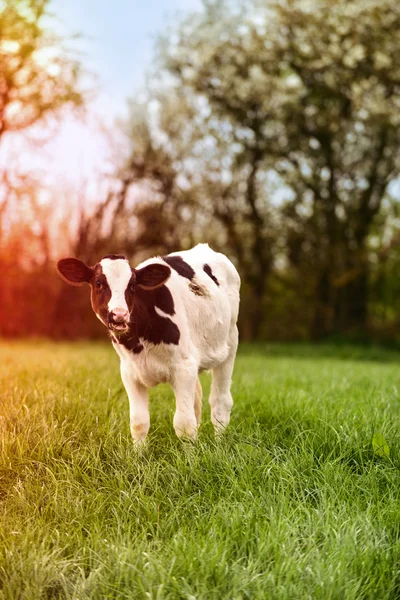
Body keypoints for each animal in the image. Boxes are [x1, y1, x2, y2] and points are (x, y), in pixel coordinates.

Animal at [57, 241, 239, 442]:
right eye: (98, 283)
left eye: (132, 285)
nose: (119, 315)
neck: (140, 342)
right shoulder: (130, 373)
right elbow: (139, 422)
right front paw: (139, 451)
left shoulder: (183, 368)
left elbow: (184, 424)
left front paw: (191, 451)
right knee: (197, 402)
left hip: (230, 342)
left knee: (220, 401)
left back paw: (219, 442)